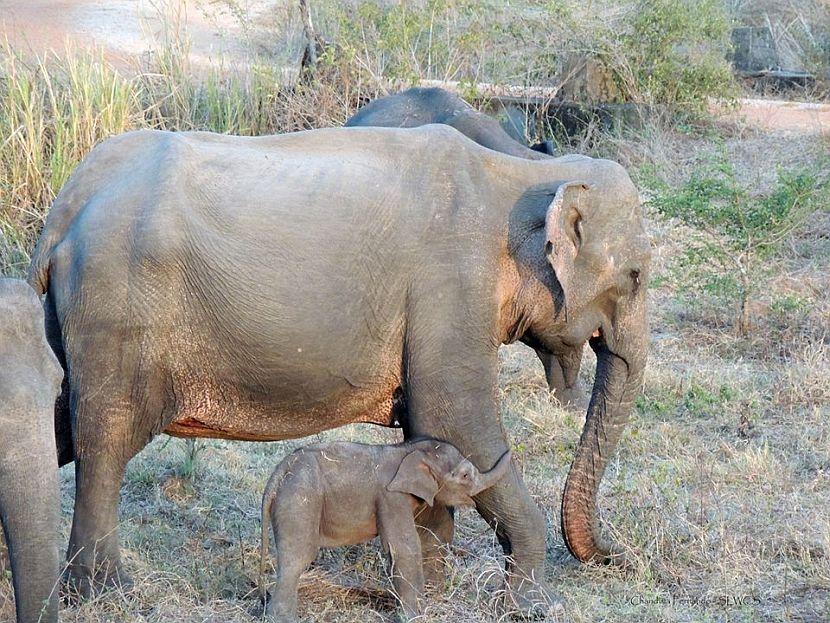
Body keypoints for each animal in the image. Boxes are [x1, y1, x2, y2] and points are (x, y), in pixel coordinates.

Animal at [258, 442, 512, 620]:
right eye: (465, 475)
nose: (509, 450)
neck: (408, 450)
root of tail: (278, 474)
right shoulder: (391, 497)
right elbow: (405, 546)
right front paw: (416, 616)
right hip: (299, 499)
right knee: (297, 557)